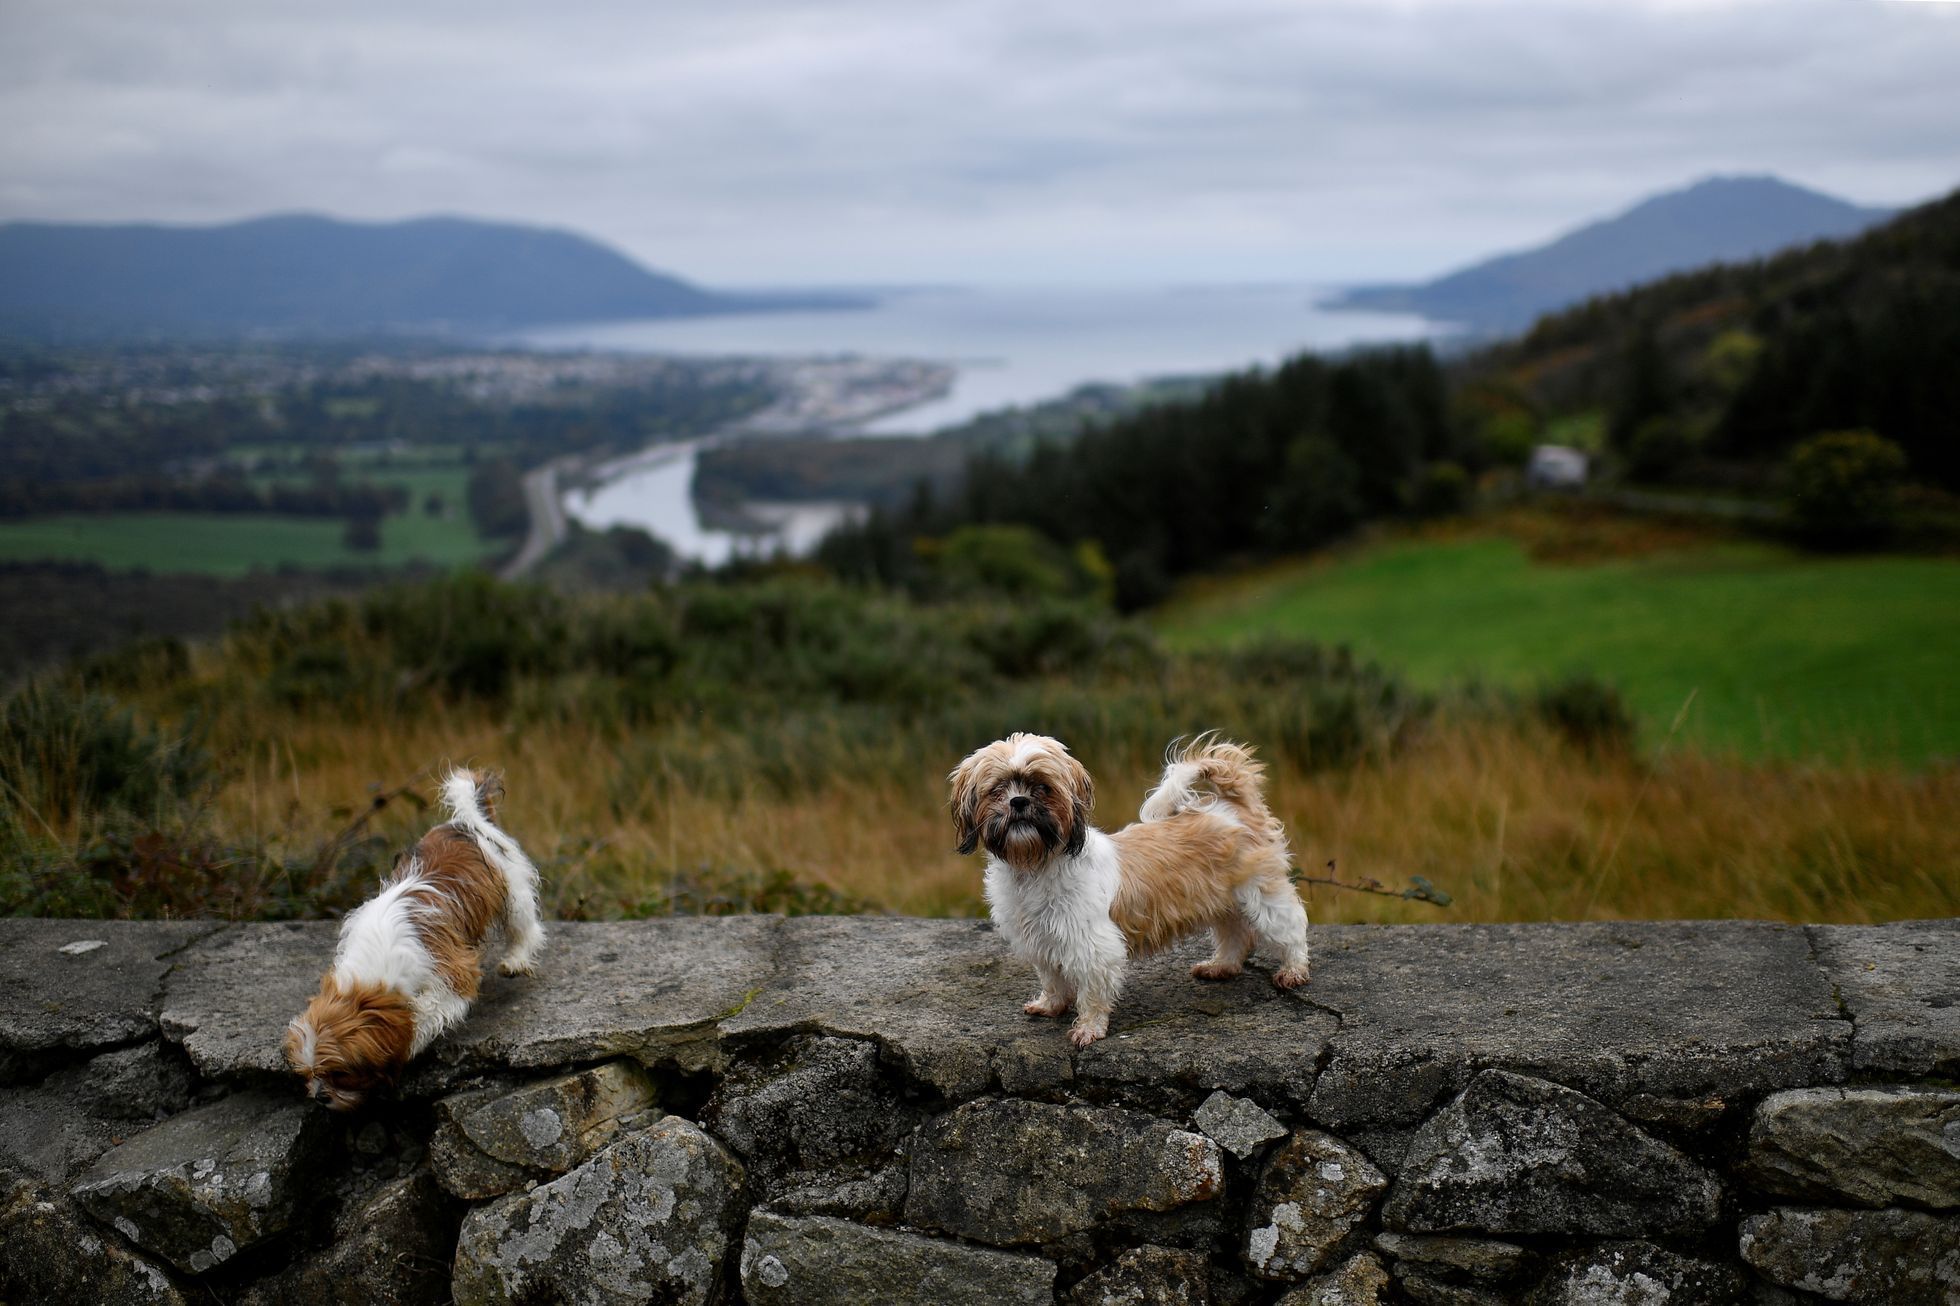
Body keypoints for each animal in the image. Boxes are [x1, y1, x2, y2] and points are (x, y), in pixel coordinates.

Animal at [284, 768, 544, 1105]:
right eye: (309, 1074)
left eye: (340, 1072)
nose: (319, 1097)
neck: (374, 972)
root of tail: (464, 822)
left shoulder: (453, 973)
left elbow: (427, 1012)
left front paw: (411, 1041)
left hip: (513, 892)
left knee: (525, 928)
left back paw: (515, 960)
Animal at [952, 733, 1317, 1051]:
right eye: (997, 790)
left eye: (1043, 787)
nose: (1019, 801)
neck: (1035, 863)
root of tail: (1232, 809)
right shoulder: (1041, 939)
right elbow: (1053, 978)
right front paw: (1050, 1005)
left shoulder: (1092, 946)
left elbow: (1093, 992)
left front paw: (1088, 1028)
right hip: (1222, 902)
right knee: (1235, 934)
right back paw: (1221, 966)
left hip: (1262, 894)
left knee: (1290, 927)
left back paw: (1293, 971)